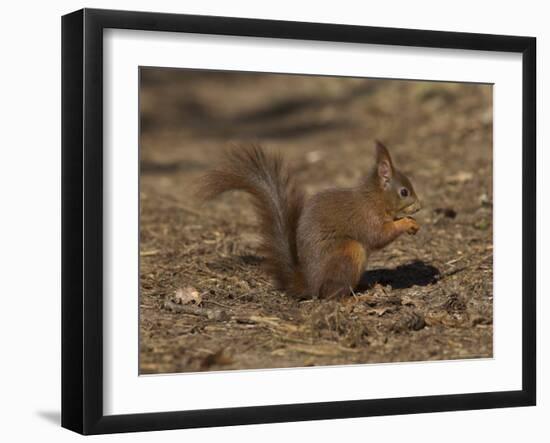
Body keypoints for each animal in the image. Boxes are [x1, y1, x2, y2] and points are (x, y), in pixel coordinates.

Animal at [201, 141, 424, 298]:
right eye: (404, 192)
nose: (420, 207)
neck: (375, 198)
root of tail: (310, 284)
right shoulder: (367, 217)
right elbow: (379, 235)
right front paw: (407, 223)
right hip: (349, 251)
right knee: (330, 295)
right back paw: (353, 298)